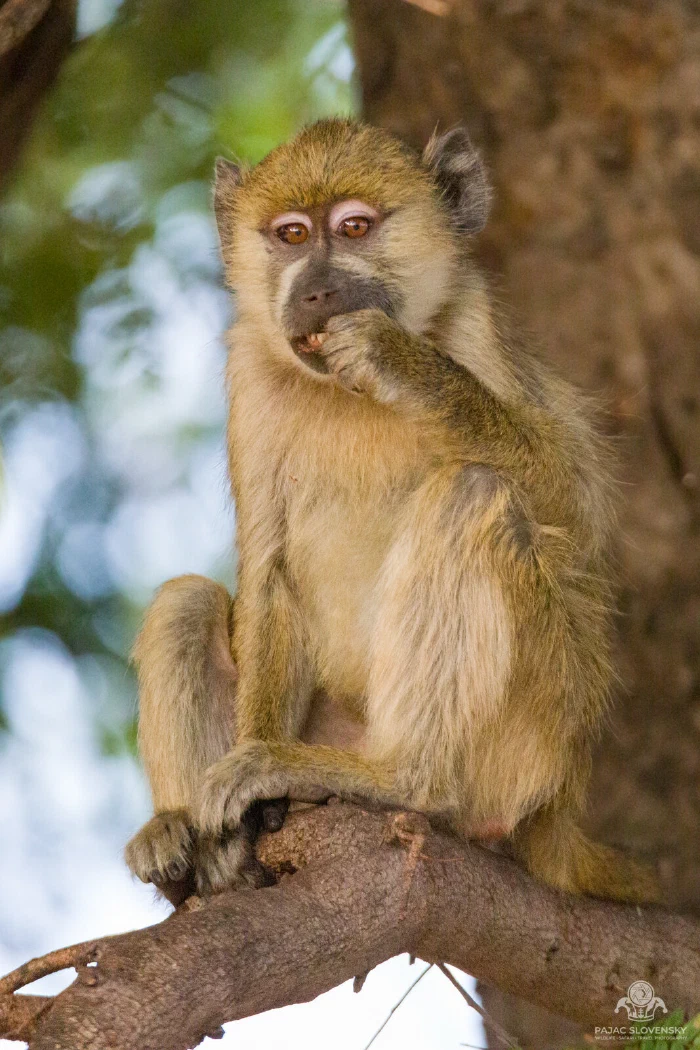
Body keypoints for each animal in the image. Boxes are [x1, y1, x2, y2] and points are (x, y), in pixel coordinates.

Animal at [125, 118, 658, 906]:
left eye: (354, 227)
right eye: (291, 234)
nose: (318, 291)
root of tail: (559, 807)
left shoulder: (473, 328)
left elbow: (578, 521)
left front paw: (404, 366)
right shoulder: (250, 369)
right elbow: (268, 569)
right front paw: (239, 807)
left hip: (534, 738)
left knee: (472, 492)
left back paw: (404, 781)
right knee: (187, 601)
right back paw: (190, 842)